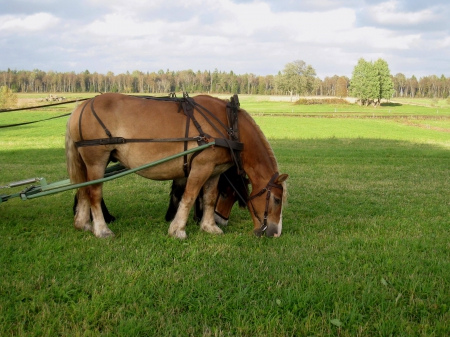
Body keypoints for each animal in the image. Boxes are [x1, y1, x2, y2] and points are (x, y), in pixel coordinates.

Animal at [65, 93, 286, 238]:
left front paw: (208, 226)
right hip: (96, 160)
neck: (230, 125)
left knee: (82, 191)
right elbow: (189, 197)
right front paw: (178, 229)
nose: (275, 233)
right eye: (276, 200)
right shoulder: (201, 167)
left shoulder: (214, 170)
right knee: (94, 193)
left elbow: (209, 198)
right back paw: (102, 230)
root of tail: (82, 106)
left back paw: (82, 224)